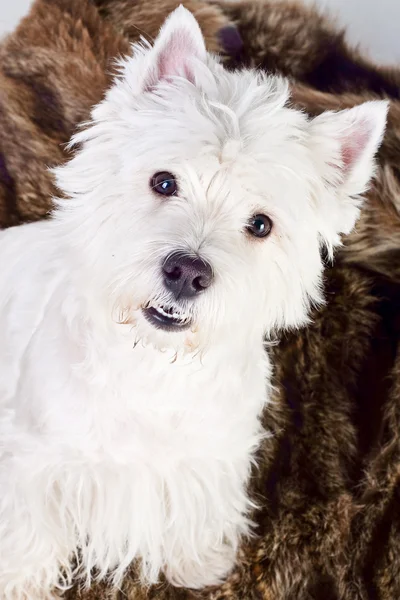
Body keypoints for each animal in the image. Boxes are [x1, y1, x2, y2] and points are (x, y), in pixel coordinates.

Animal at [0, 5, 388, 600]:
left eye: (261, 225)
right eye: (164, 182)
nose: (187, 271)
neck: (153, 365)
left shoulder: (210, 459)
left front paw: (200, 562)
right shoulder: (35, 460)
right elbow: (29, 533)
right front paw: (17, 581)